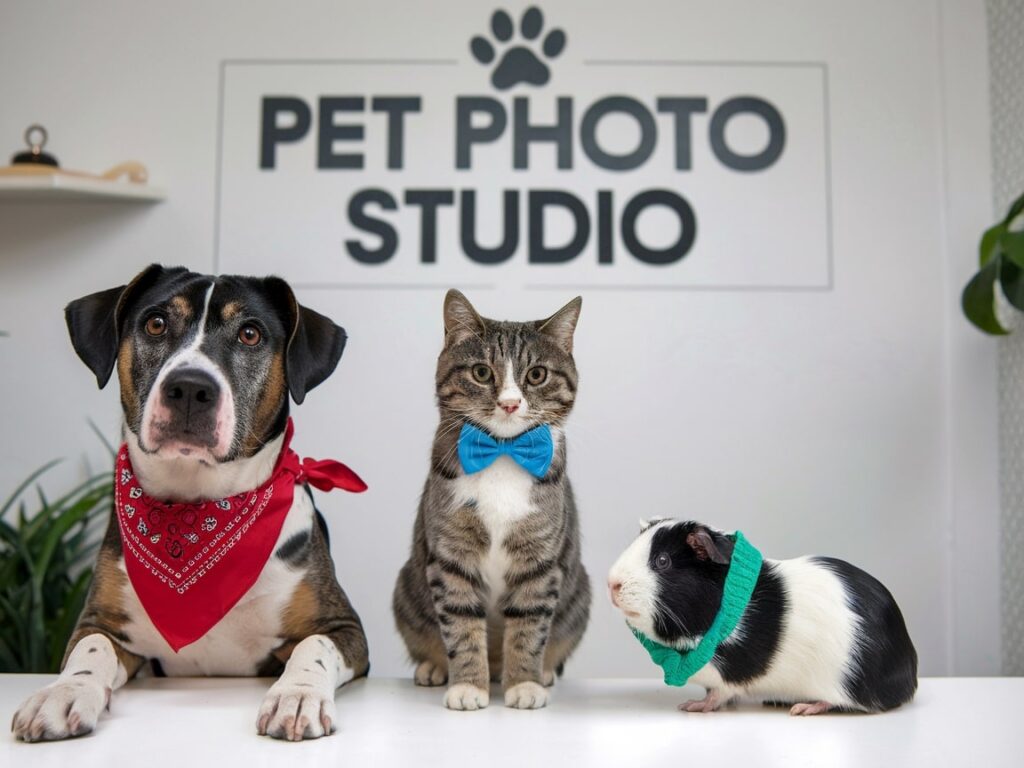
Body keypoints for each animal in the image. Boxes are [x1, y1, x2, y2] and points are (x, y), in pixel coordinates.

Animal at [9, 268, 370, 741]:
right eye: (156, 323)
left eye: (250, 334)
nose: (190, 388)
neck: (198, 508)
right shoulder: (102, 622)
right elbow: (91, 649)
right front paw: (63, 692)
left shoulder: (344, 627)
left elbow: (314, 645)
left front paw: (297, 696)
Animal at [395, 290, 598, 712]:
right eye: (481, 373)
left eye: (536, 375)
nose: (509, 403)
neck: (503, 454)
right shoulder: (451, 556)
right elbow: (461, 625)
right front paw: (468, 686)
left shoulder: (539, 561)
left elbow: (529, 627)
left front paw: (524, 683)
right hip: (406, 587)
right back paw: (434, 668)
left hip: (579, 594)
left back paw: (542, 673)